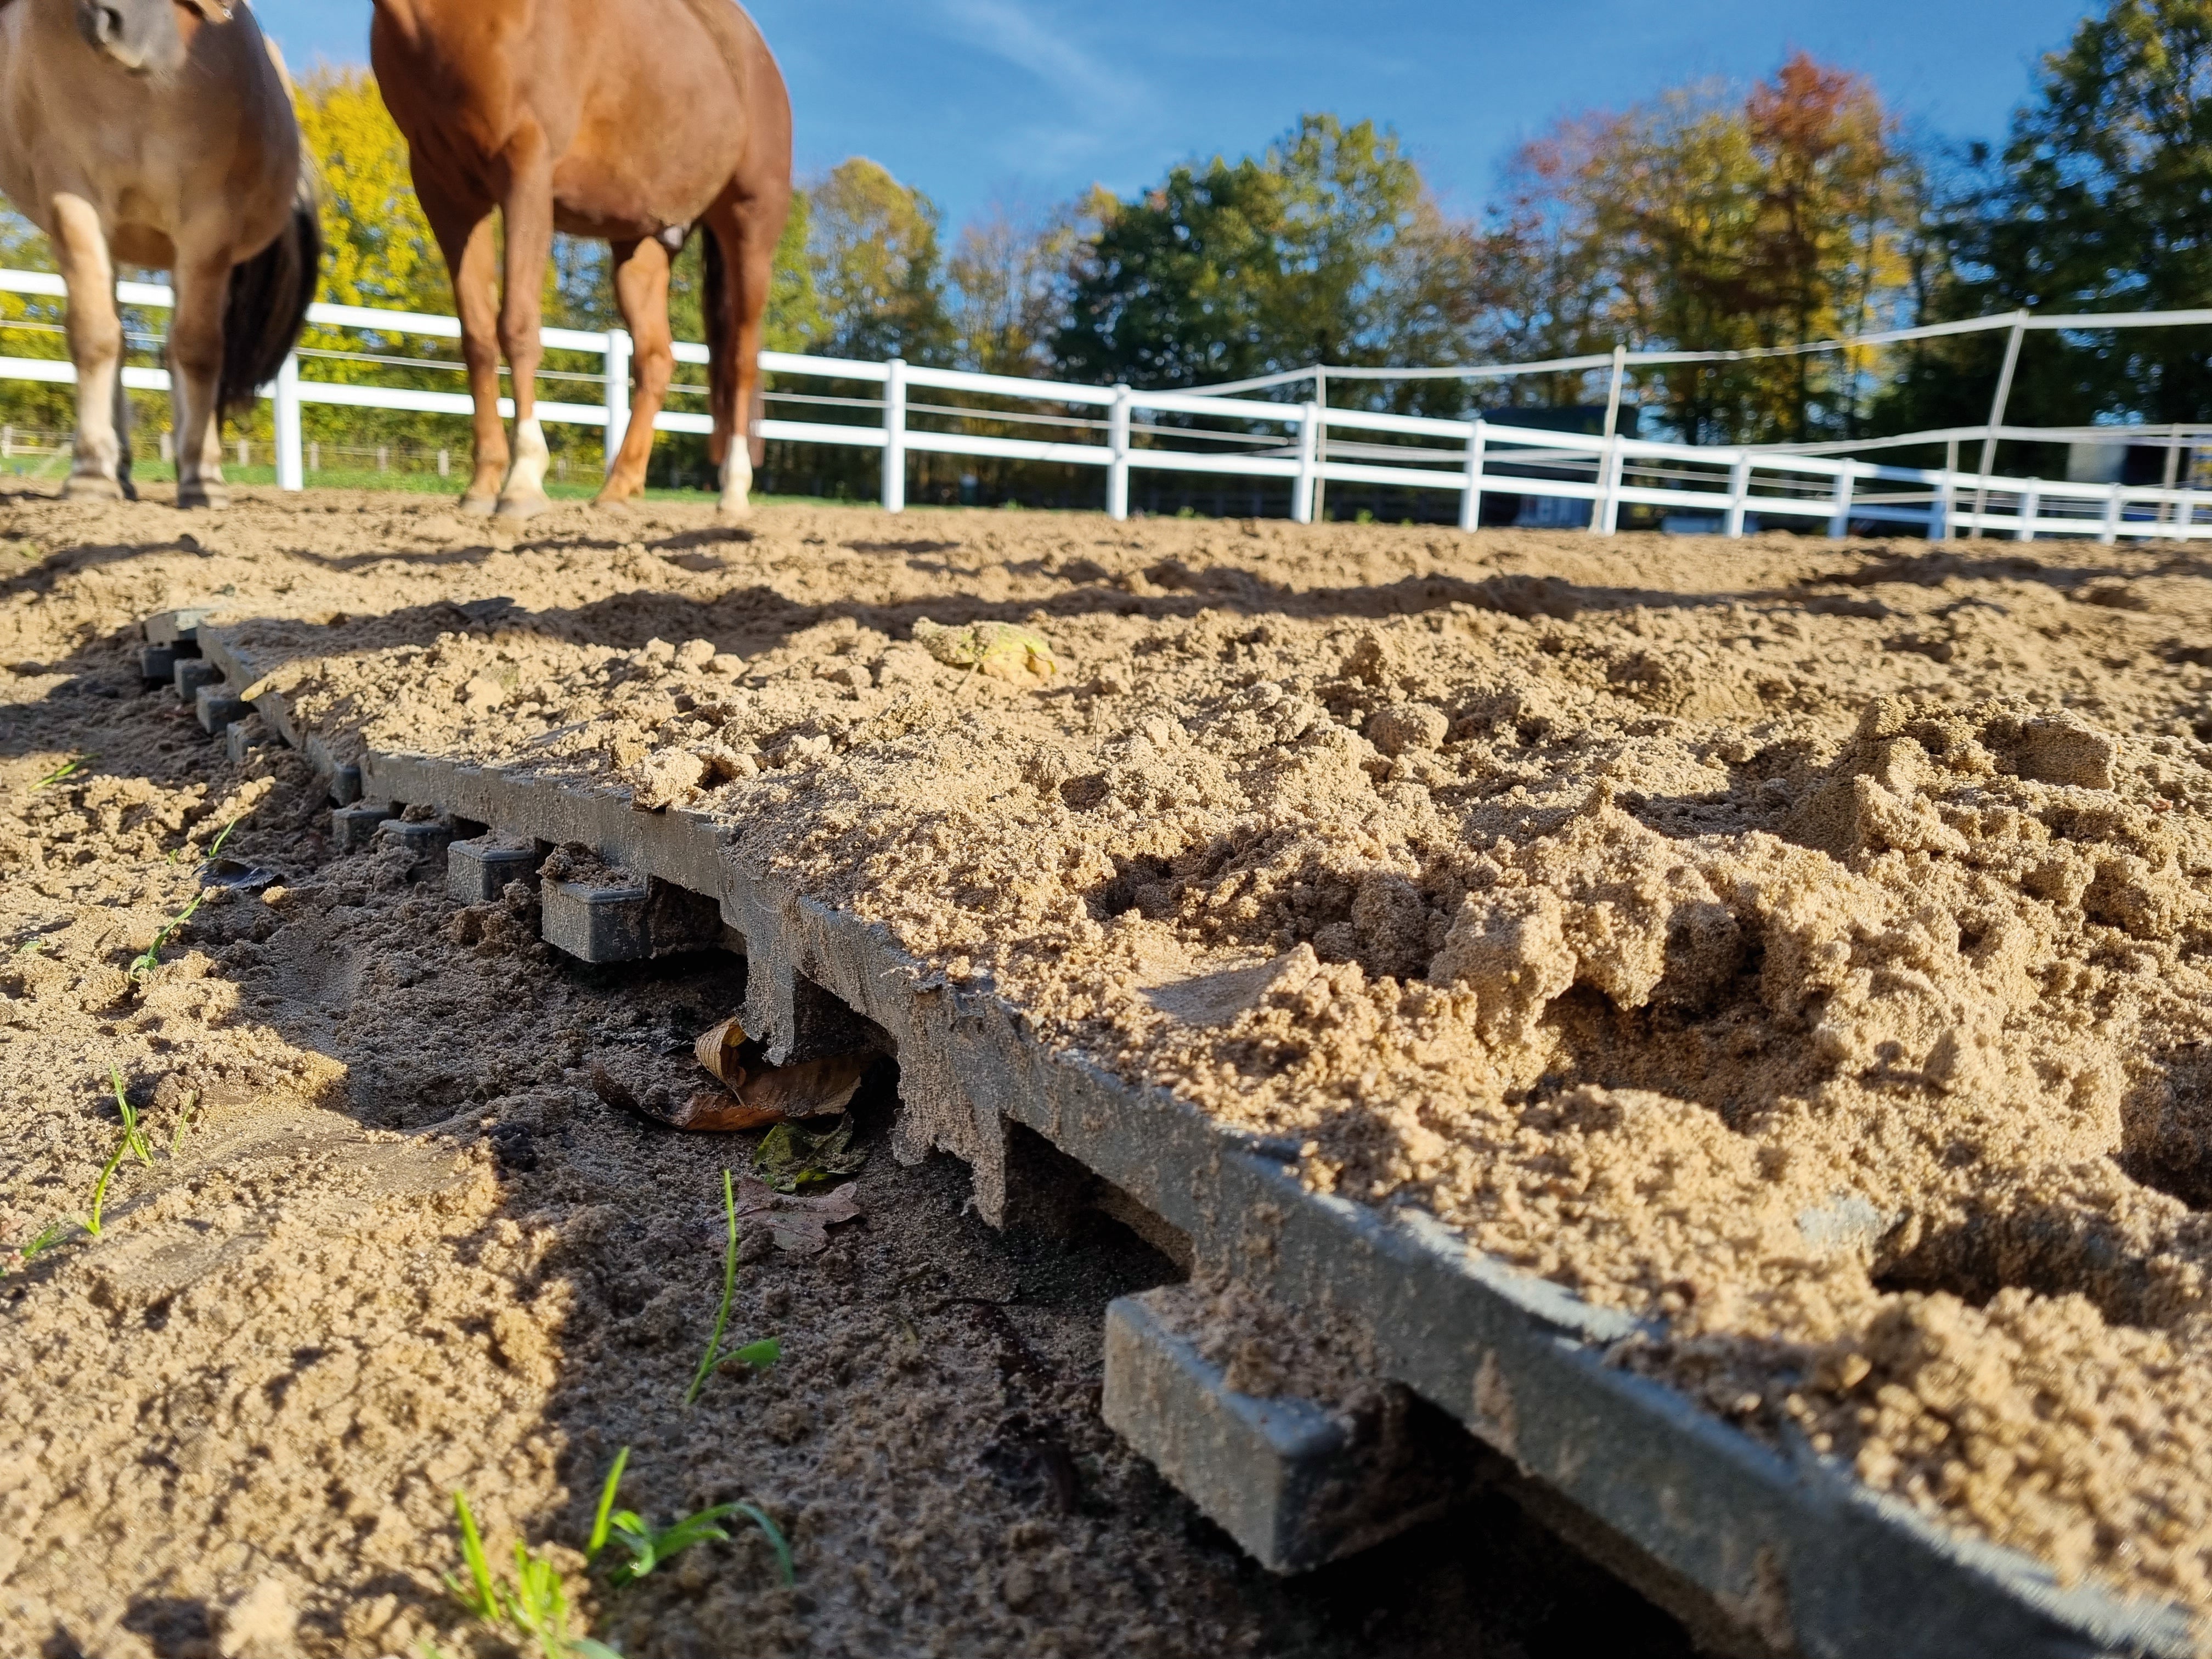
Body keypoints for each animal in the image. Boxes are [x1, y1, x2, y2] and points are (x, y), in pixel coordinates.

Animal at [0, 0, 319, 507]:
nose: (117, 22)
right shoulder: (74, 200)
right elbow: (95, 337)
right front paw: (90, 473)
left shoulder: (209, 221)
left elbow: (199, 350)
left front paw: (203, 477)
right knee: (119, 339)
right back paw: (120, 470)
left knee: (182, 348)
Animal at [369, 0, 792, 520]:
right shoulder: (444, 192)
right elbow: (477, 338)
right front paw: (483, 483)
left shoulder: (526, 169)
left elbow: (517, 327)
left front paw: (523, 480)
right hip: (642, 247)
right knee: (656, 359)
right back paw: (618, 489)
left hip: (749, 230)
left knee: (740, 361)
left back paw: (733, 491)